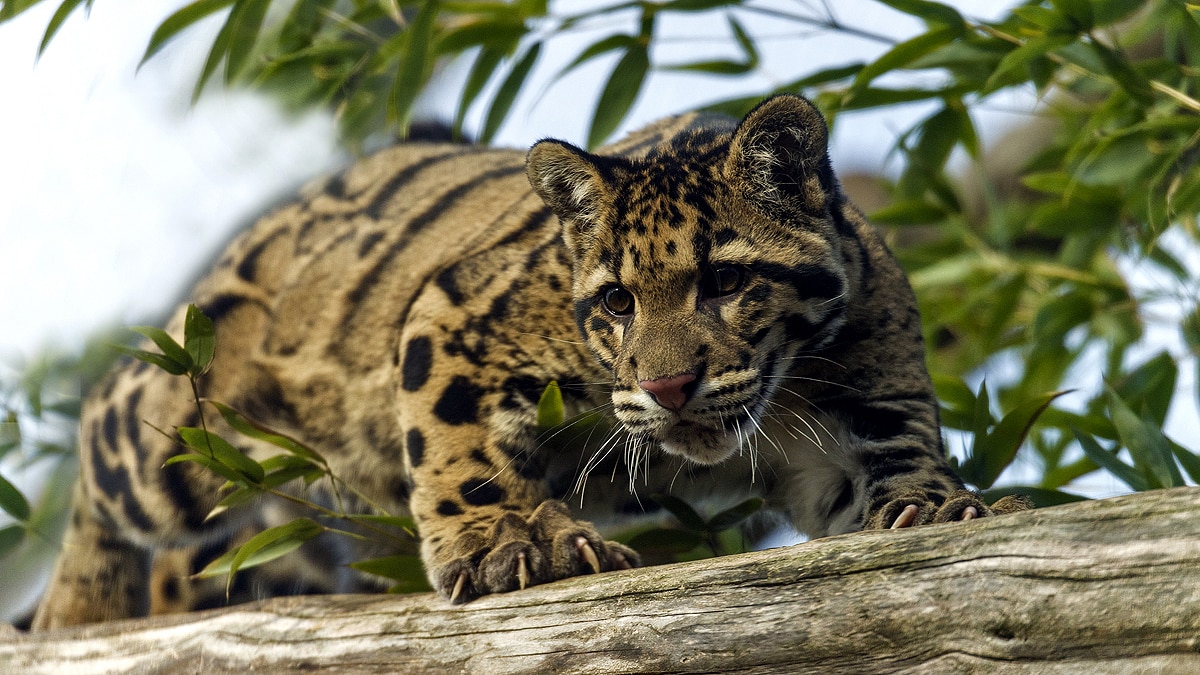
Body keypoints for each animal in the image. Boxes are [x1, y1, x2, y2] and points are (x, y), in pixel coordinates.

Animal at [32, 94, 1028, 630]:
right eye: (618, 302)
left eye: (726, 280)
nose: (668, 385)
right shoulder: (452, 314)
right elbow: (463, 453)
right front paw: (517, 545)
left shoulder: (859, 422)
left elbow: (889, 483)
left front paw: (943, 505)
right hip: (184, 430)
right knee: (103, 433)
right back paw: (77, 611)